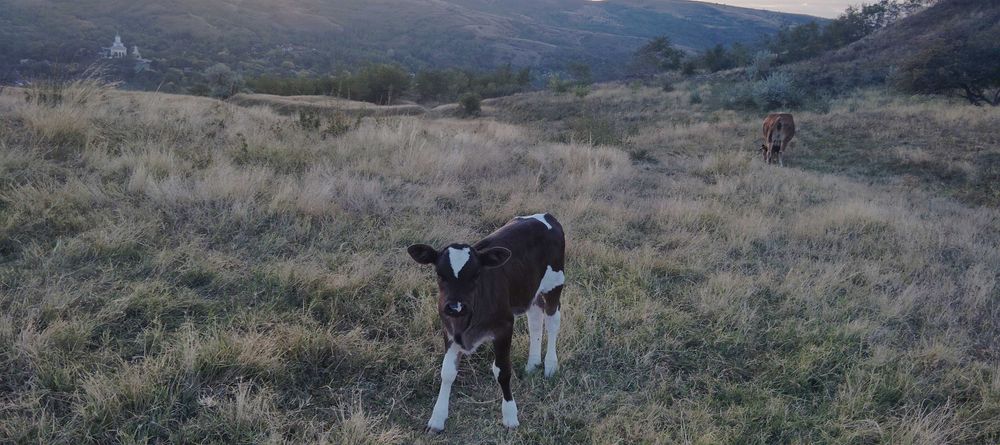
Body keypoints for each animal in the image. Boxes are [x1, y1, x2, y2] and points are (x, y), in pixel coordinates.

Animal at [407, 213, 566, 432]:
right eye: (439, 274)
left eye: (476, 274)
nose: (455, 306)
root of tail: (545, 215)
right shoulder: (449, 330)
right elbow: (447, 372)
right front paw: (437, 418)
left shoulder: (504, 327)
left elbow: (502, 371)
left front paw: (510, 416)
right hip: (528, 290)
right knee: (535, 320)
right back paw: (533, 363)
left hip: (555, 283)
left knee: (552, 322)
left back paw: (550, 365)